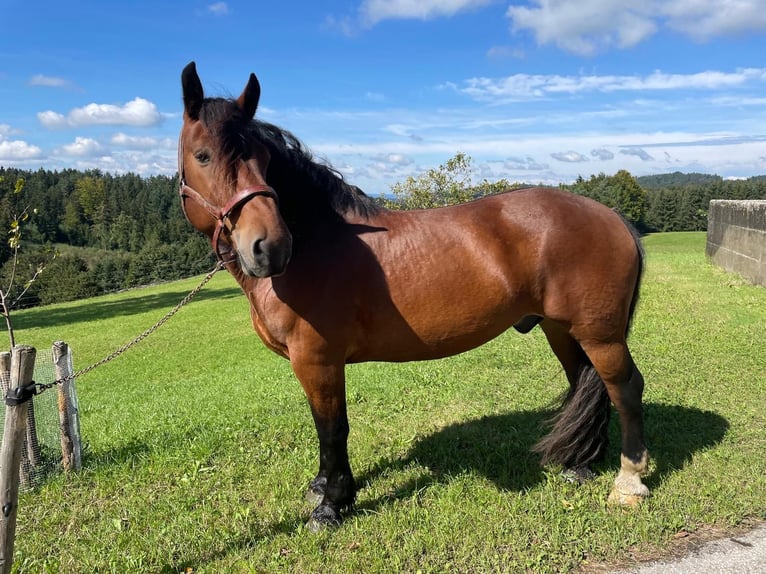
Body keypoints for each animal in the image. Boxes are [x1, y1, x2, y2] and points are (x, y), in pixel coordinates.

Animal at [178, 62, 651, 531]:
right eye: (203, 155)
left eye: (263, 161)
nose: (270, 247)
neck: (317, 240)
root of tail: (612, 217)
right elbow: (325, 428)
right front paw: (322, 485)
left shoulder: (317, 360)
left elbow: (332, 429)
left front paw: (332, 504)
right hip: (563, 331)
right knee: (585, 383)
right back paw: (581, 465)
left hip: (601, 335)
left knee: (625, 389)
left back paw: (628, 483)